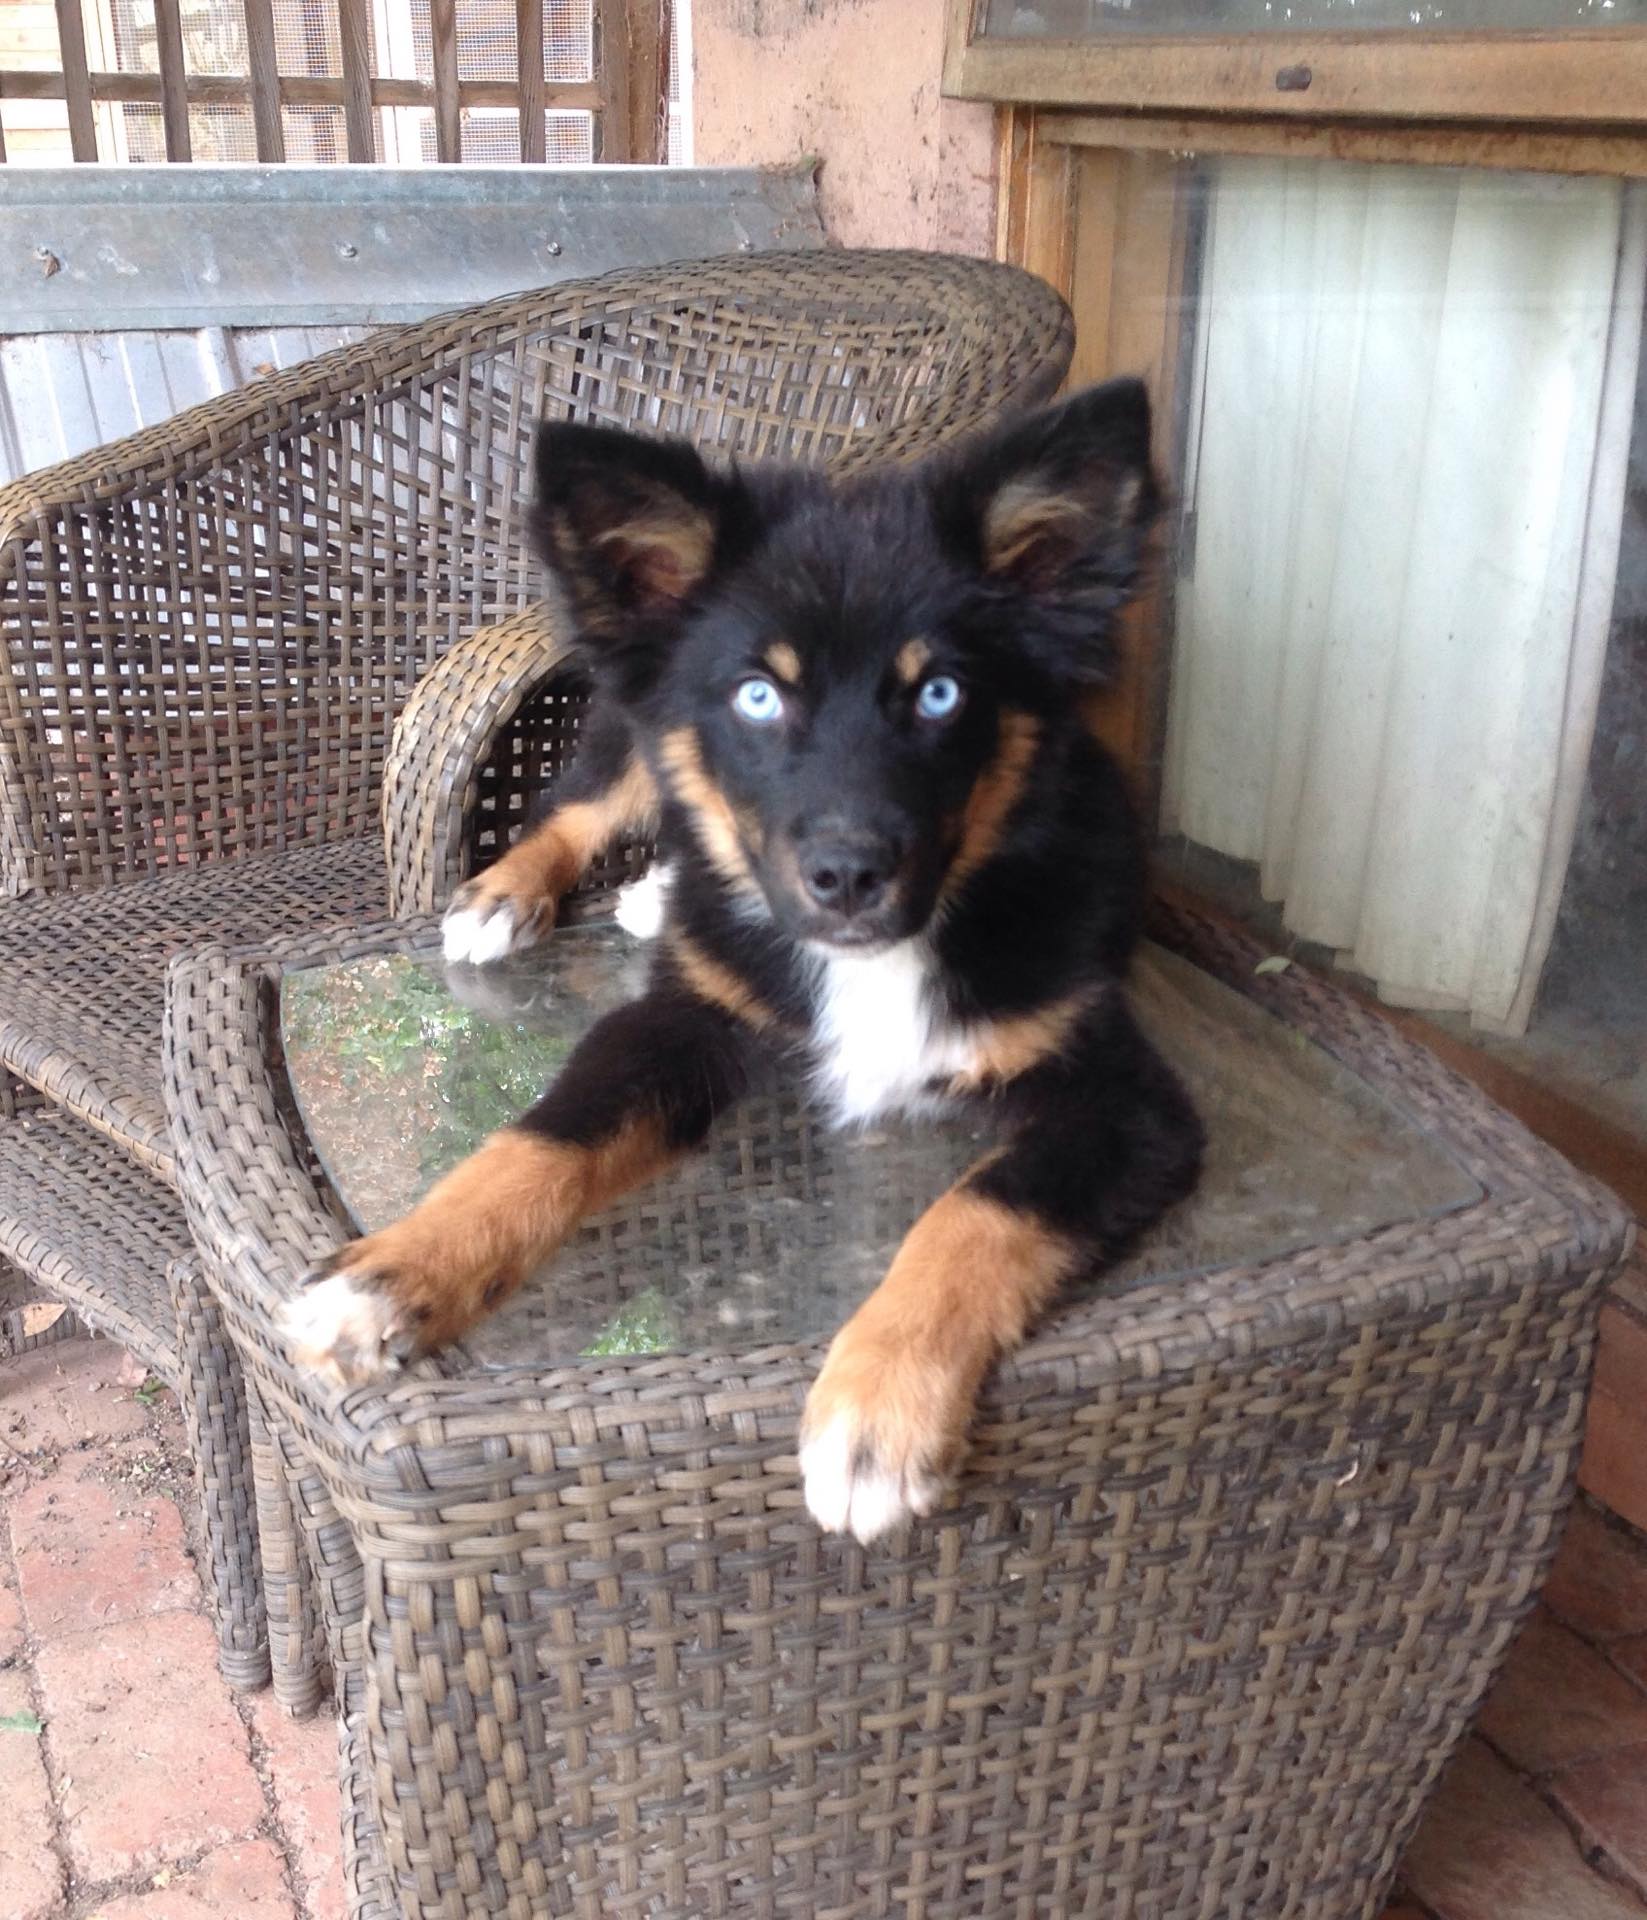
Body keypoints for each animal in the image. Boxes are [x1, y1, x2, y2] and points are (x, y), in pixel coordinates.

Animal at [284, 377, 1205, 1544]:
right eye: (758, 695)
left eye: (940, 694)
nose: (847, 875)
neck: (877, 957)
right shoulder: (677, 1019)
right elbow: (544, 1138)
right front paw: (392, 1273)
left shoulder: (1125, 1099)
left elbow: (978, 1211)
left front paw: (876, 1408)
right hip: (635, 723)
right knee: (588, 802)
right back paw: (513, 895)